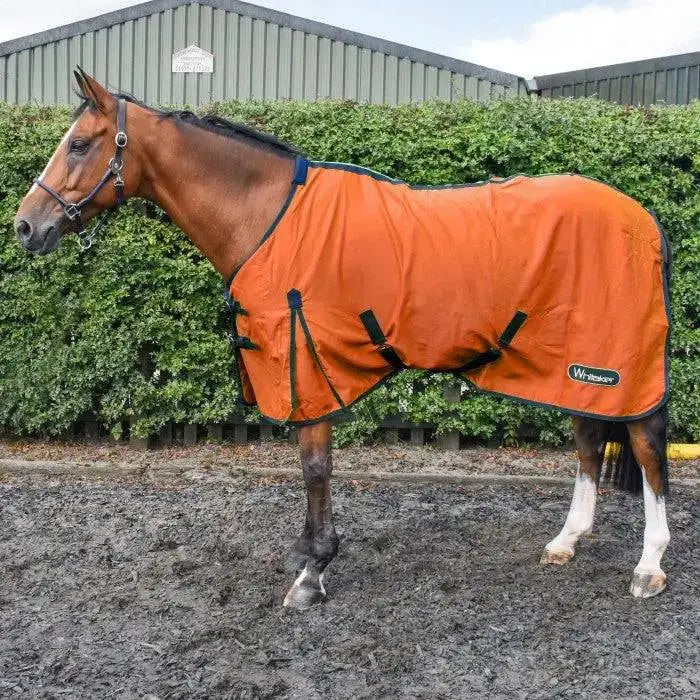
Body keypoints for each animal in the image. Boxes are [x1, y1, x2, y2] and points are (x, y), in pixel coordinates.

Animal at [14, 68, 671, 608]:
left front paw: (313, 572)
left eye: (79, 144)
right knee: (589, 442)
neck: (268, 217)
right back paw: (567, 541)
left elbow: (315, 468)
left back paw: (649, 566)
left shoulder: (306, 363)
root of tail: (643, 217)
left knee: (646, 448)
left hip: (617, 364)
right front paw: (310, 557)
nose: (25, 227)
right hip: (573, 365)